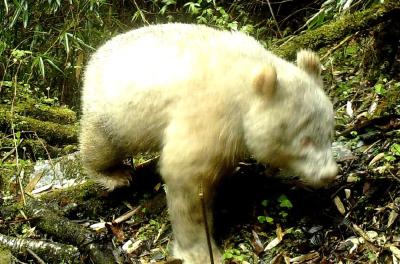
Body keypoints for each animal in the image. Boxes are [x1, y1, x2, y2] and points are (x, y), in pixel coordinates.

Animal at [80, 23, 338, 262]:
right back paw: (114, 175)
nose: (329, 173)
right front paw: (200, 252)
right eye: (304, 140)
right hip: (111, 111)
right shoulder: (210, 113)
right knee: (101, 145)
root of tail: (94, 56)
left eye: (329, 133)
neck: (245, 80)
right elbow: (187, 177)